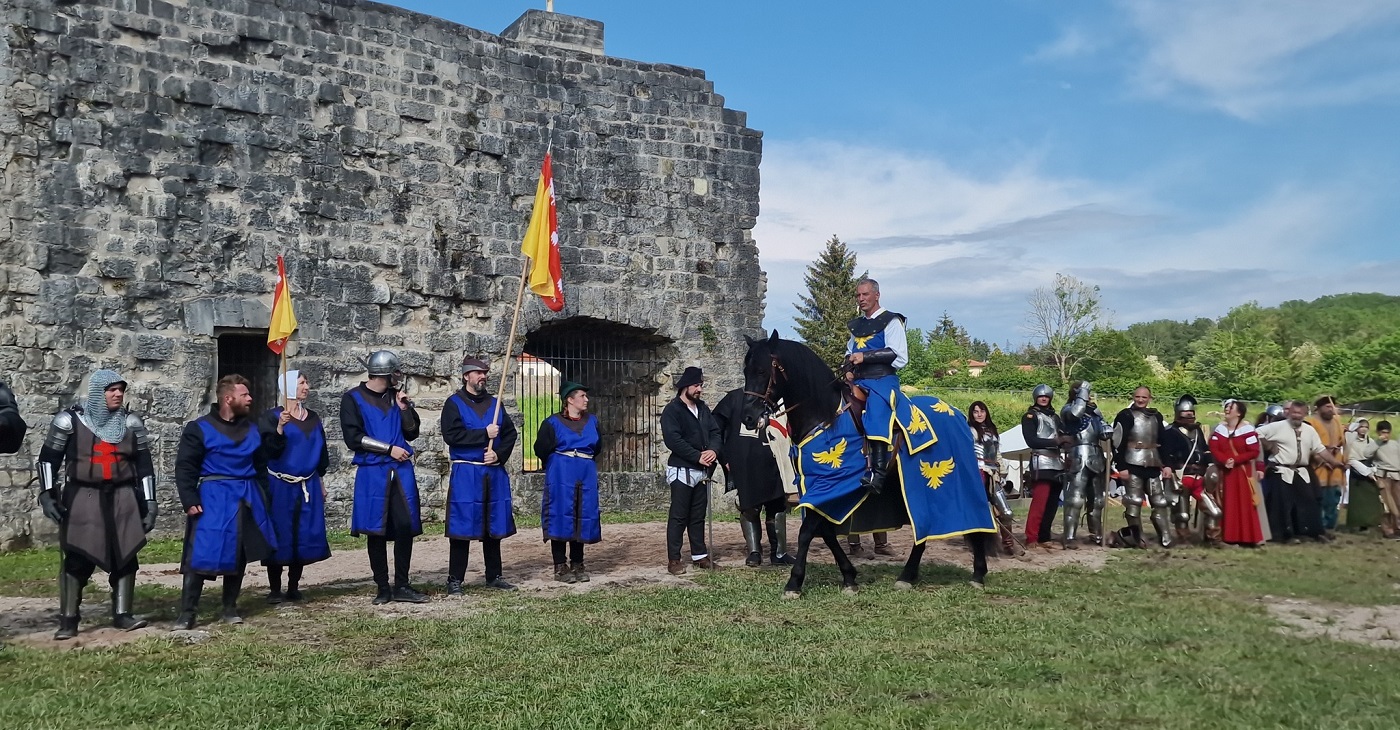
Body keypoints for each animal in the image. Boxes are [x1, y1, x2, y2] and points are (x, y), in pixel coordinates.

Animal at [739, 333, 991, 594]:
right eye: (746, 371)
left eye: (762, 371)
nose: (748, 417)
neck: (824, 415)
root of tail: (956, 413)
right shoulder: (818, 488)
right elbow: (826, 532)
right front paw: (849, 576)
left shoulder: (829, 485)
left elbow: (806, 532)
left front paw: (794, 582)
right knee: (922, 533)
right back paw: (908, 575)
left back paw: (977, 574)